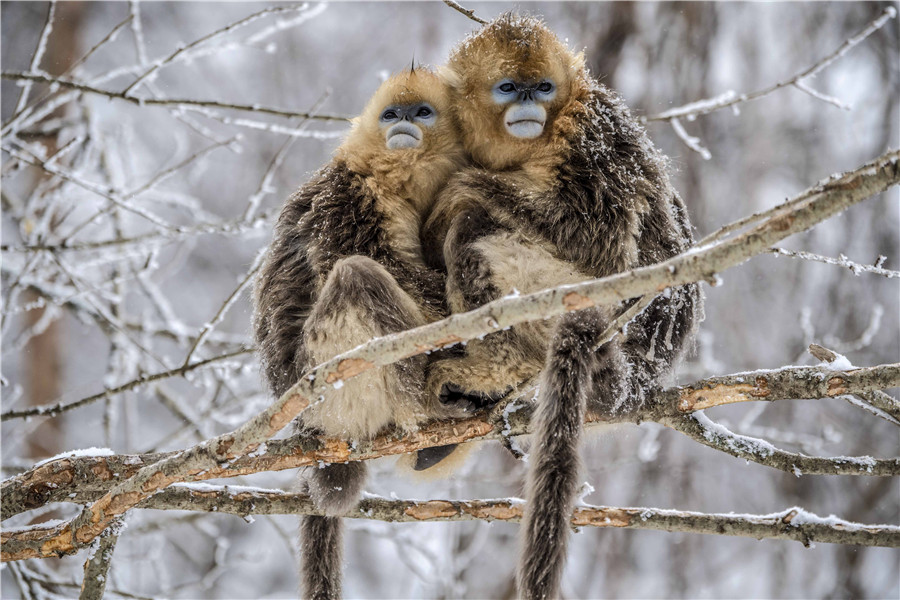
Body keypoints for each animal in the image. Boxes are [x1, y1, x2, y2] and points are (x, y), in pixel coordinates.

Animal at [252, 67, 467, 599]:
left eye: (422, 112)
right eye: (392, 114)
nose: (404, 122)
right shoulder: (349, 197)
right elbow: (368, 263)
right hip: (325, 383)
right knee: (355, 275)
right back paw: (430, 408)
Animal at [421, 14, 703, 599]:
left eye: (543, 87)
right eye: (509, 87)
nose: (529, 103)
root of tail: (635, 377)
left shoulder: (590, 135)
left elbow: (602, 243)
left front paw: (463, 186)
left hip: (576, 299)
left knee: (474, 228)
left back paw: (495, 367)